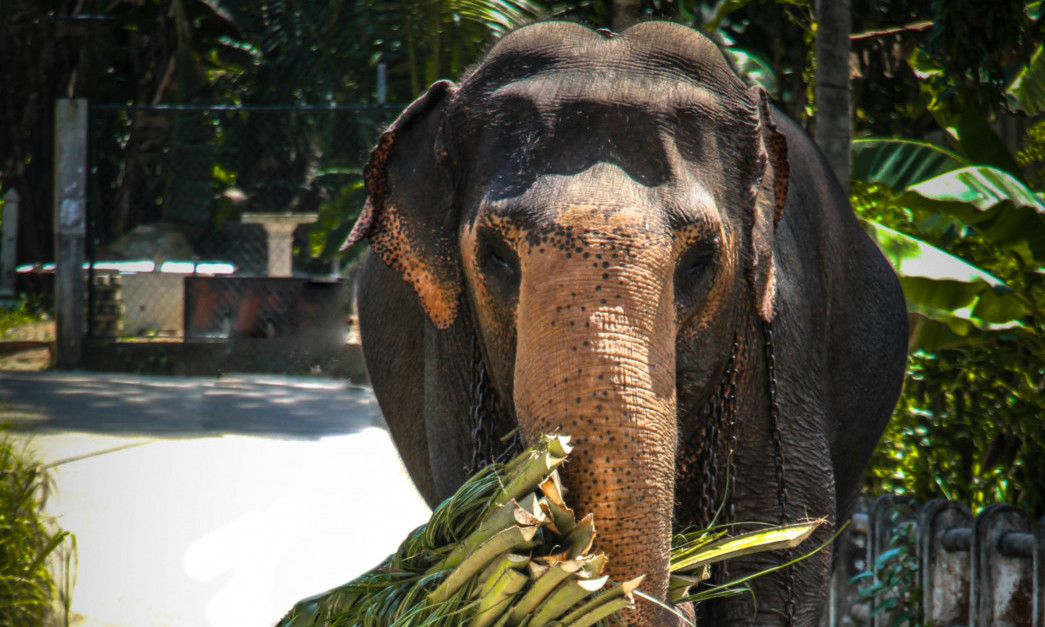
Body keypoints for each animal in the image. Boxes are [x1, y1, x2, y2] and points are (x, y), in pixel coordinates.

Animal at [346, 19, 911, 627]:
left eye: (700, 261)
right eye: (495, 256)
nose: (679, 592)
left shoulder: (780, 331)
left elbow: (776, 547)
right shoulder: (449, 342)